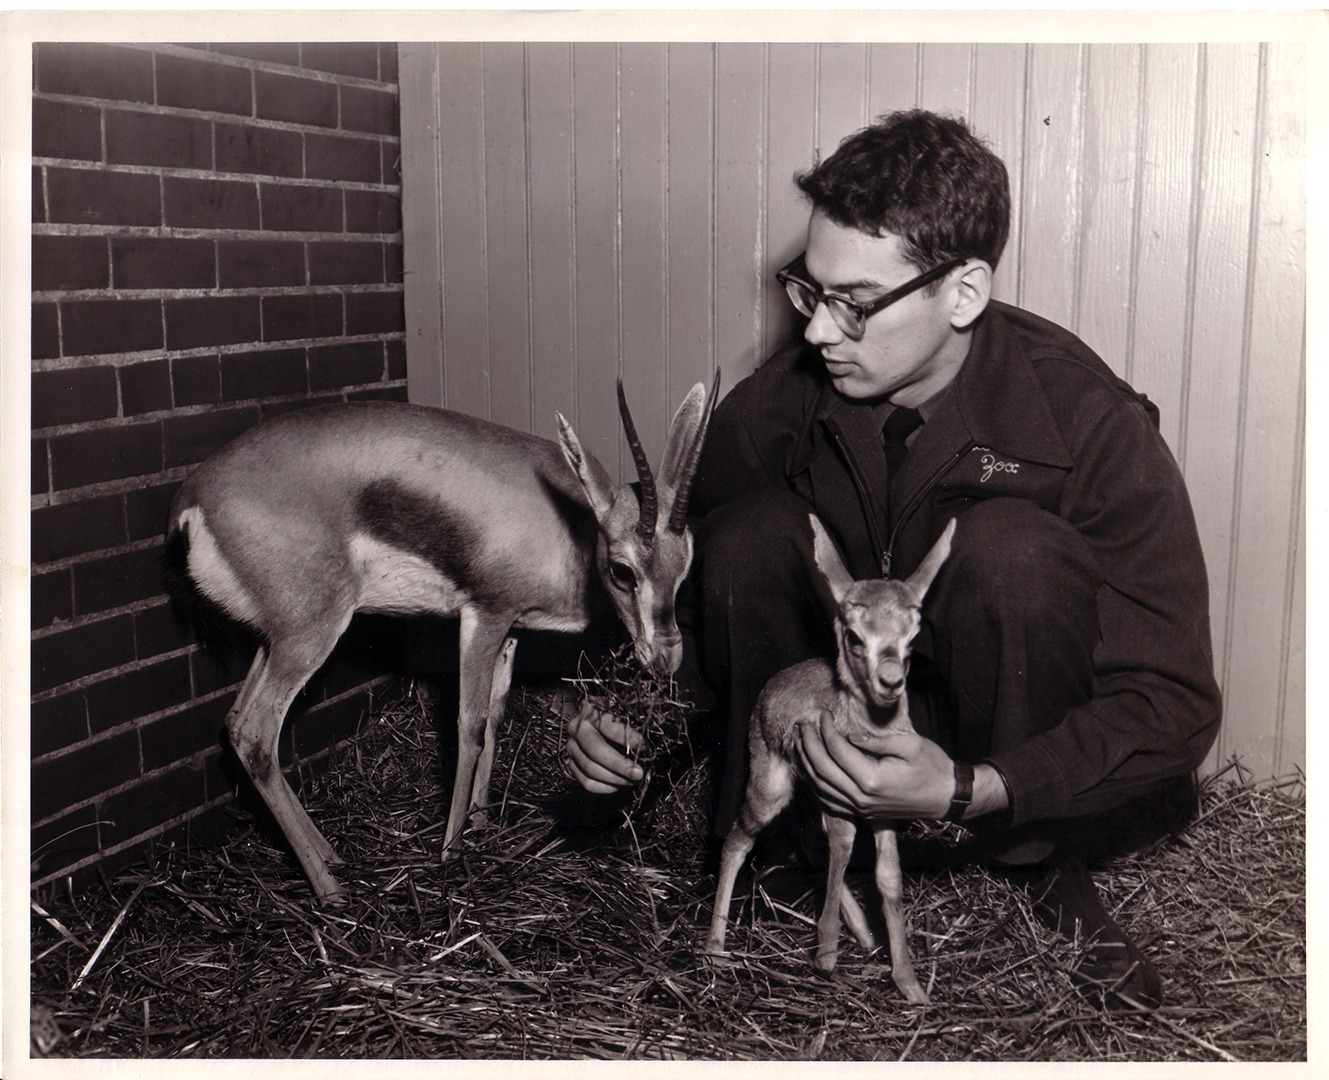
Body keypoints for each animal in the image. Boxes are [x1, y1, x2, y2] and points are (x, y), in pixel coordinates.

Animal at [165, 378, 718, 905]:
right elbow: (468, 726)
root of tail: (191, 501)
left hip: (276, 638)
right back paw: (332, 892)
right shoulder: (483, 616)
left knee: (235, 722)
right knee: (256, 734)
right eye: (623, 570)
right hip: (311, 635)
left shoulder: (511, 630)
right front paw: (451, 854)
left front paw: (483, 824)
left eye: (687, 561)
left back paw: (331, 856)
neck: (569, 531)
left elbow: (496, 716)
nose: (666, 656)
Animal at [705, 514, 956, 1005]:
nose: (891, 680)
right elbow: (844, 848)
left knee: (815, 845)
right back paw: (715, 948)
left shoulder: (882, 805)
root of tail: (770, 686)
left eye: (912, 639)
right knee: (738, 841)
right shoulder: (841, 797)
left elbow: (888, 877)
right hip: (770, 787)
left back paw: (863, 935)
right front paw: (825, 955)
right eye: (855, 636)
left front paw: (909, 984)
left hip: (811, 790)